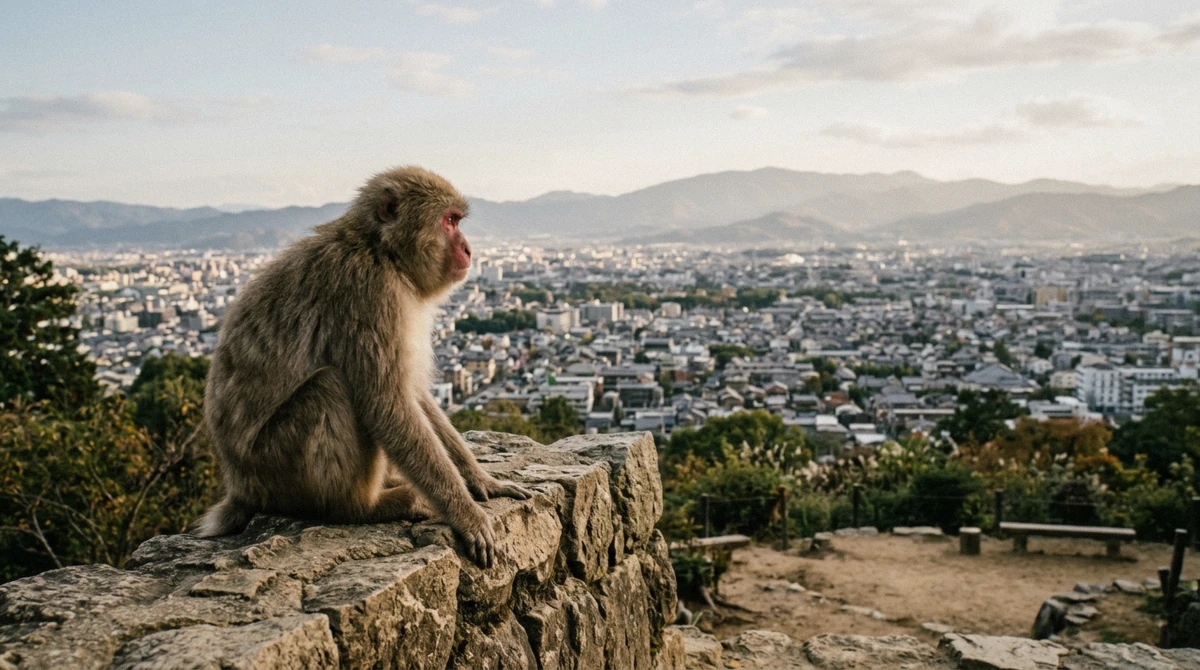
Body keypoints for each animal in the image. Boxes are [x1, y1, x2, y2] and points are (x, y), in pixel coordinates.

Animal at [191, 166, 531, 568]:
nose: (468, 249)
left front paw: (482, 482)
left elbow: (413, 394)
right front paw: (466, 514)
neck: (381, 251)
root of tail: (238, 486)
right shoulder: (370, 295)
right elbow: (387, 405)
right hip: (273, 468)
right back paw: (363, 507)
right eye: (449, 221)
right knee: (329, 388)